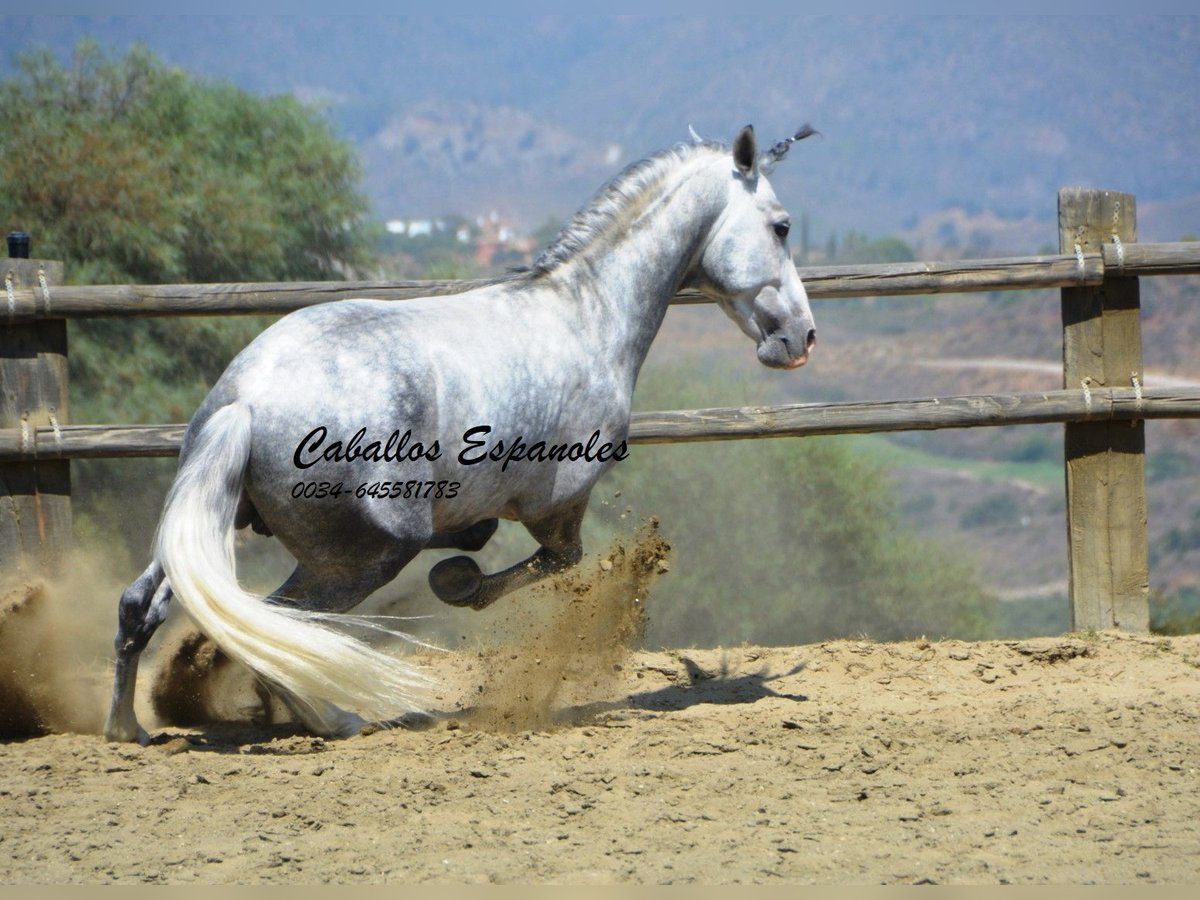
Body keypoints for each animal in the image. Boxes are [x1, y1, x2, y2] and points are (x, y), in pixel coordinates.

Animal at [105, 128, 816, 748]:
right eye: (782, 225)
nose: (801, 338)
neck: (587, 318)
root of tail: (247, 400)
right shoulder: (559, 503)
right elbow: (555, 563)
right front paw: (457, 581)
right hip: (365, 556)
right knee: (271, 623)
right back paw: (333, 719)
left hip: (210, 519)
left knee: (151, 604)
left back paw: (129, 727)